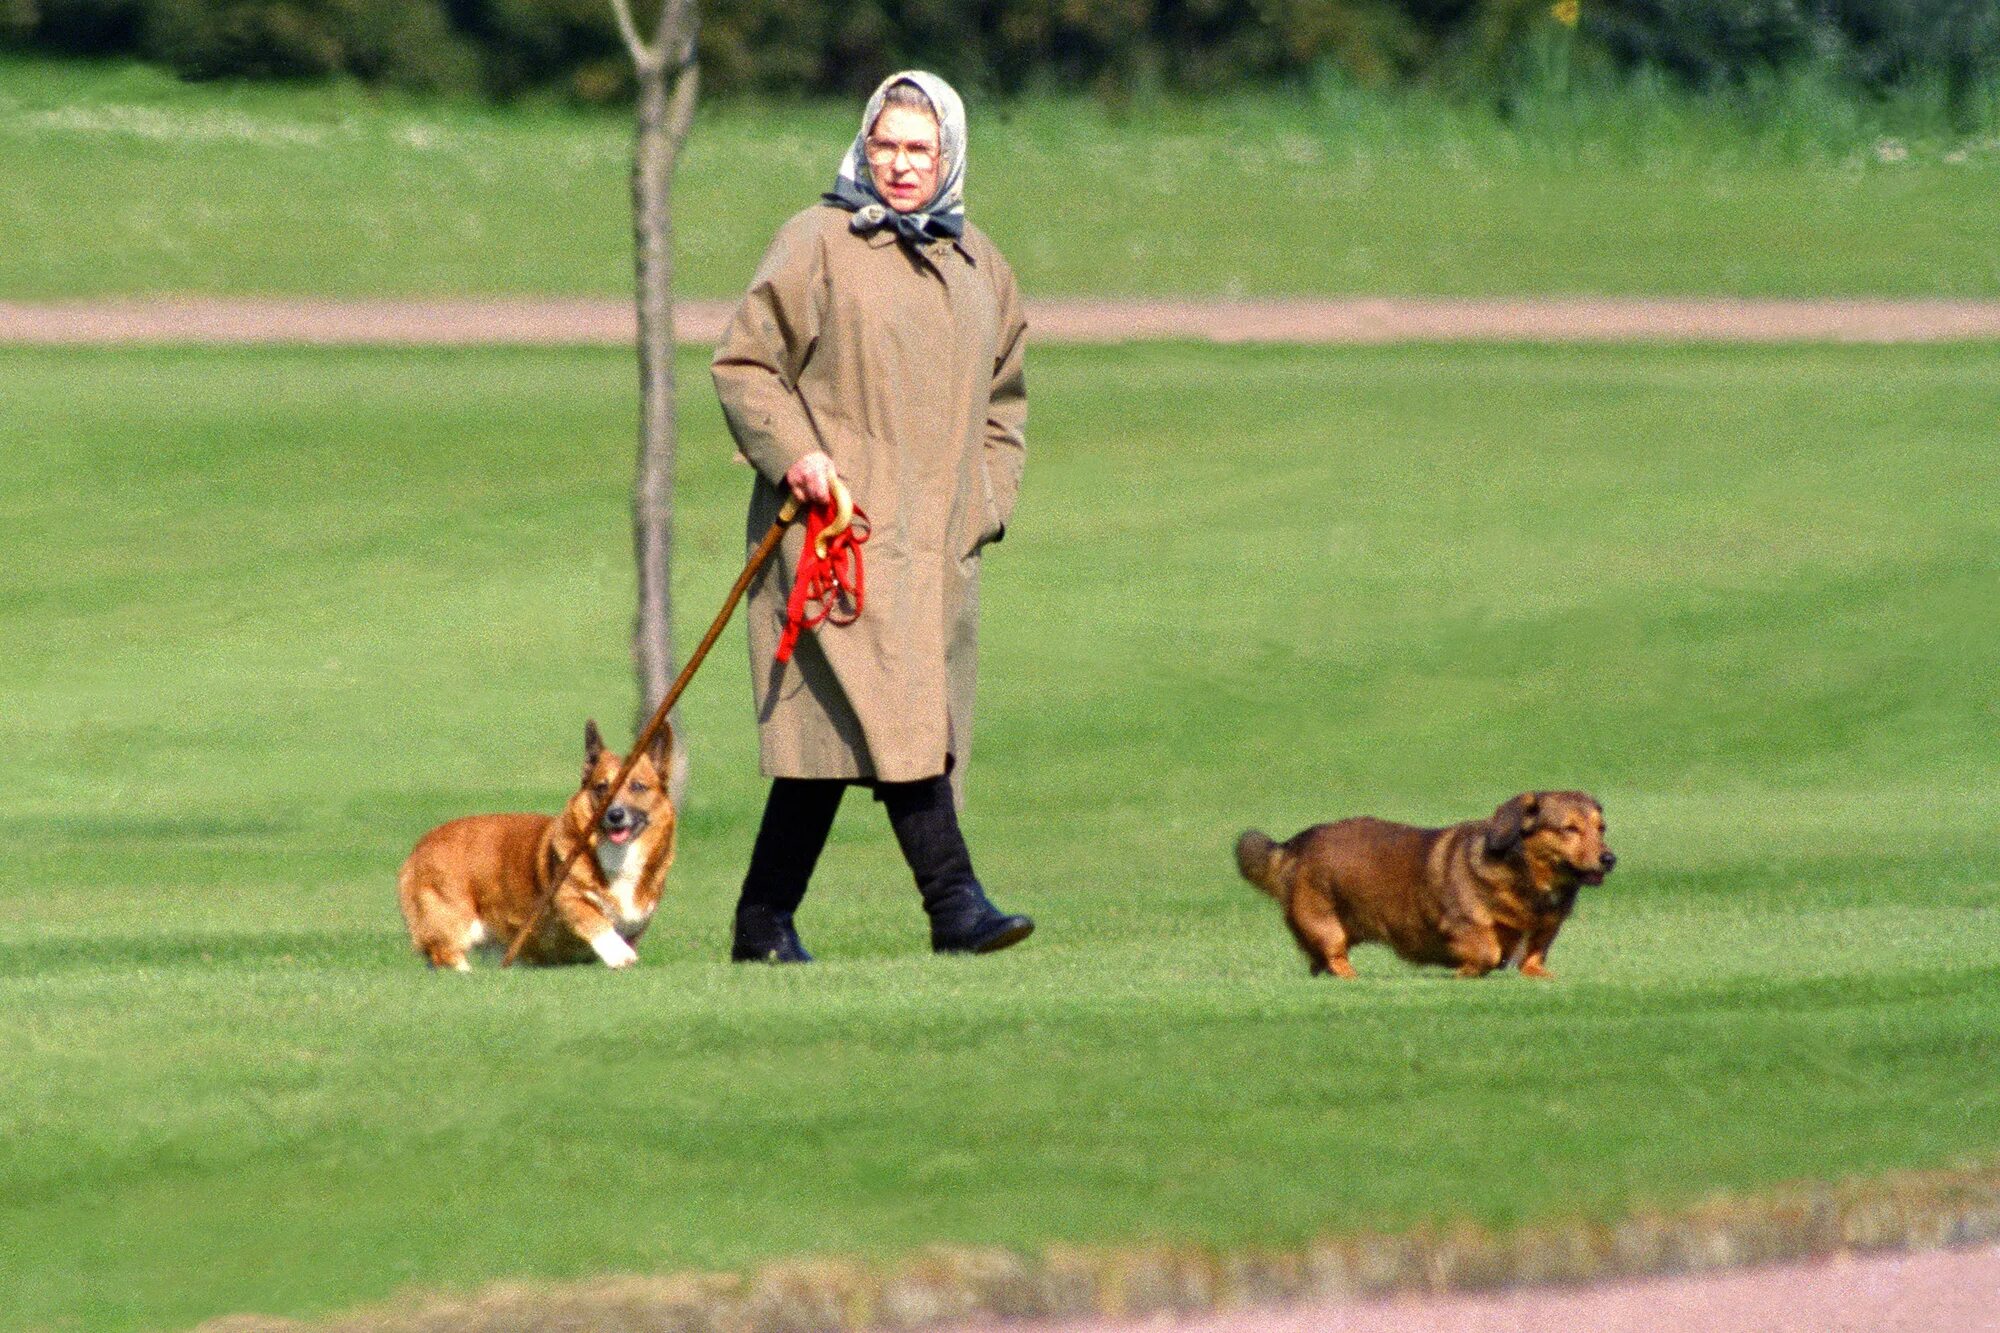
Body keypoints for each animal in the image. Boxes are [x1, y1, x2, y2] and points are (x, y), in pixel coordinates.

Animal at [400, 716, 680, 964]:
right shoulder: (567, 899)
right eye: (601, 787)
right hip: (454, 922)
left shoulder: (637, 922)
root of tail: (418, 848)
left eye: (638, 786)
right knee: (445, 954)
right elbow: (594, 919)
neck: (619, 856)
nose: (615, 815)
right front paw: (619, 955)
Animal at [1232, 788, 1608, 976]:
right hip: (1325, 926)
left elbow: (1533, 958)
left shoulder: (1544, 931)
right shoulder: (1462, 925)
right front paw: (1466, 973)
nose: (1610, 859)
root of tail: (1297, 842)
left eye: (1601, 828)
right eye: (1569, 829)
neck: (1527, 879)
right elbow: (1487, 952)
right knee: (1334, 959)